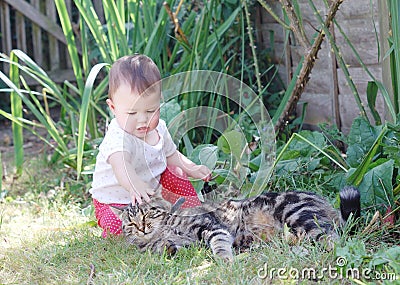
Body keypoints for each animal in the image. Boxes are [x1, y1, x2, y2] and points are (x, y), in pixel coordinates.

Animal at [111, 185, 360, 260]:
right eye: (131, 224)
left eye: (147, 214)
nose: (142, 227)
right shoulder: (182, 244)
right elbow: (166, 248)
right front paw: (166, 247)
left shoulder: (210, 226)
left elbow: (219, 244)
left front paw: (224, 260)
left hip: (296, 213)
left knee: (333, 237)